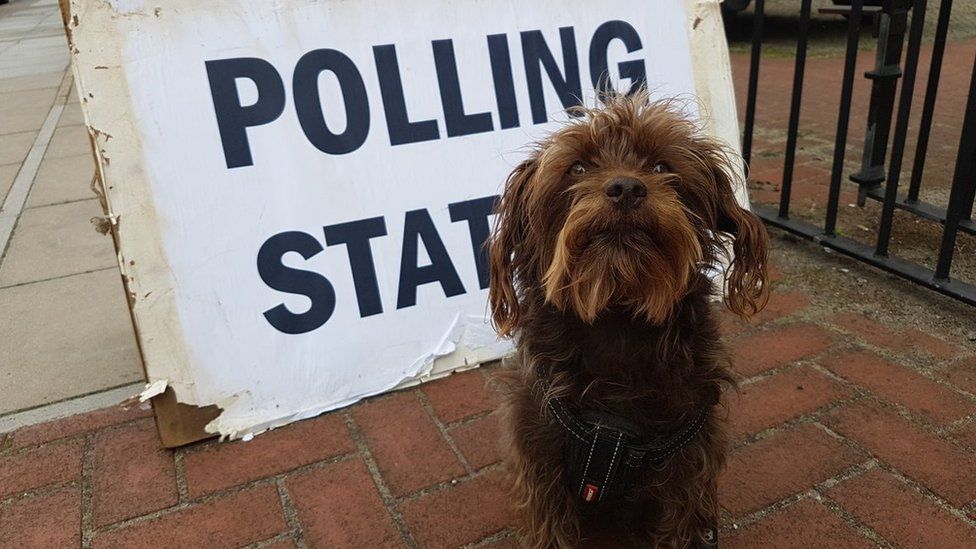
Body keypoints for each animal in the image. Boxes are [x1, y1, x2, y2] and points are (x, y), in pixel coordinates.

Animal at [492, 92, 768, 544]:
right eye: (578, 167)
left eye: (660, 166)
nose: (626, 188)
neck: (618, 319)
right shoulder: (541, 461)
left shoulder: (688, 470)